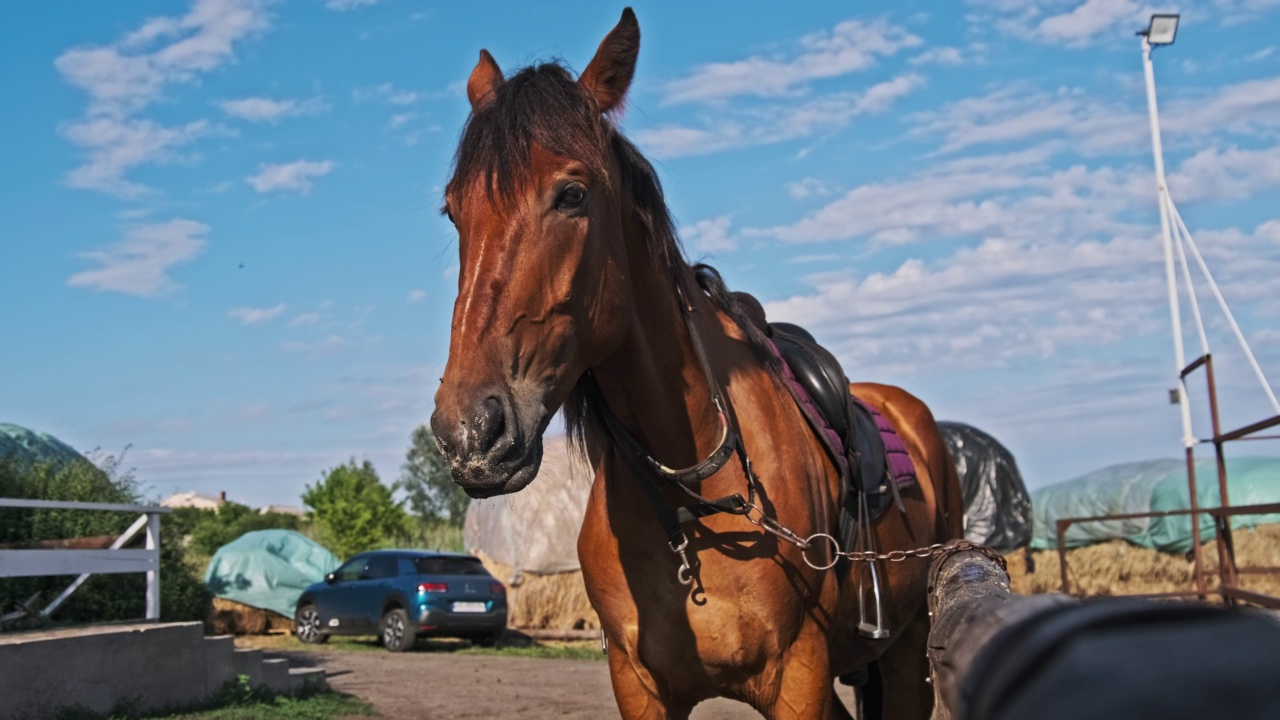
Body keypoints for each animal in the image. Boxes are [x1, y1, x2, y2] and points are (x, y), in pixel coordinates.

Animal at [430, 9, 962, 717]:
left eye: (572, 194)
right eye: (454, 210)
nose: (470, 433)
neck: (690, 500)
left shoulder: (800, 677)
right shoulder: (639, 684)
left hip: (907, 658)